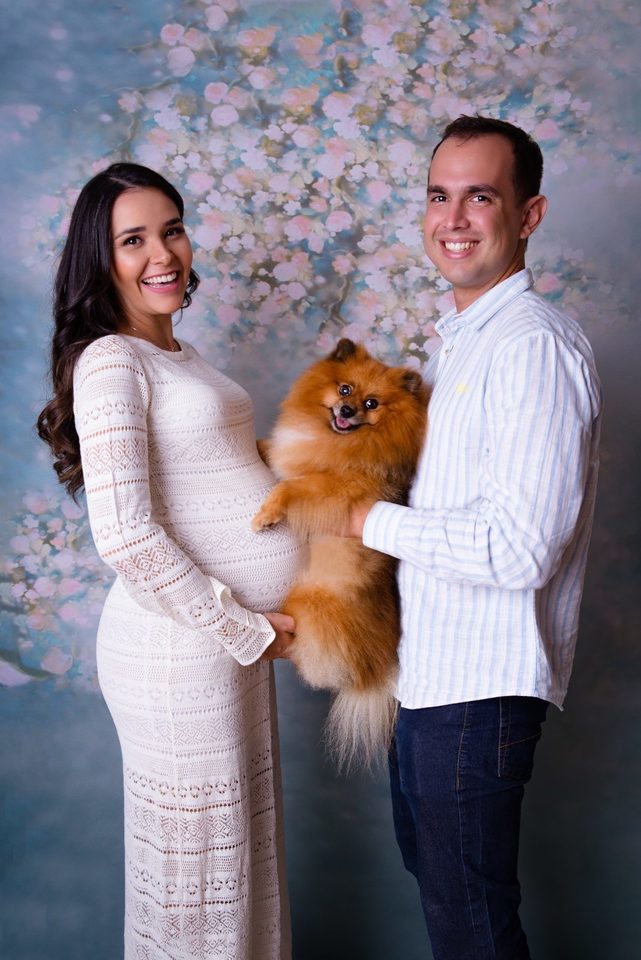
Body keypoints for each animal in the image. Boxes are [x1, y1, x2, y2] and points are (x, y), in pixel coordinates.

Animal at [252, 338, 428, 769]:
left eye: (372, 403)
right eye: (345, 389)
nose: (347, 410)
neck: (337, 440)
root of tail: (375, 670)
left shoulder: (332, 490)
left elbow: (289, 488)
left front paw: (267, 515)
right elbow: (273, 451)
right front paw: (260, 445)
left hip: (307, 603)